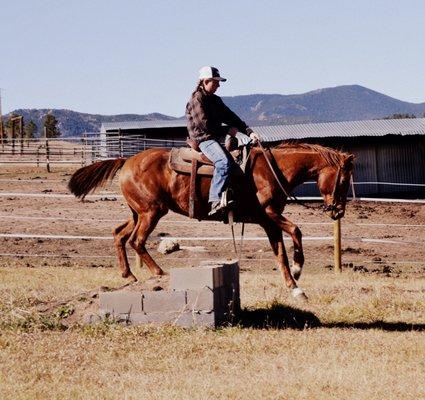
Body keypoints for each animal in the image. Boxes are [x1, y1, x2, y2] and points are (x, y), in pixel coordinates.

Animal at [68, 142, 354, 298]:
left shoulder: (268, 221)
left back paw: (129, 274)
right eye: (342, 180)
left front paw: (294, 287)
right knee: (136, 241)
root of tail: (127, 160)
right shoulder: (268, 214)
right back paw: (159, 273)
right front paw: (297, 269)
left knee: (119, 234)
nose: (337, 211)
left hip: (138, 212)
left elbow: (280, 252)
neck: (272, 170)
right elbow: (297, 230)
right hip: (151, 212)